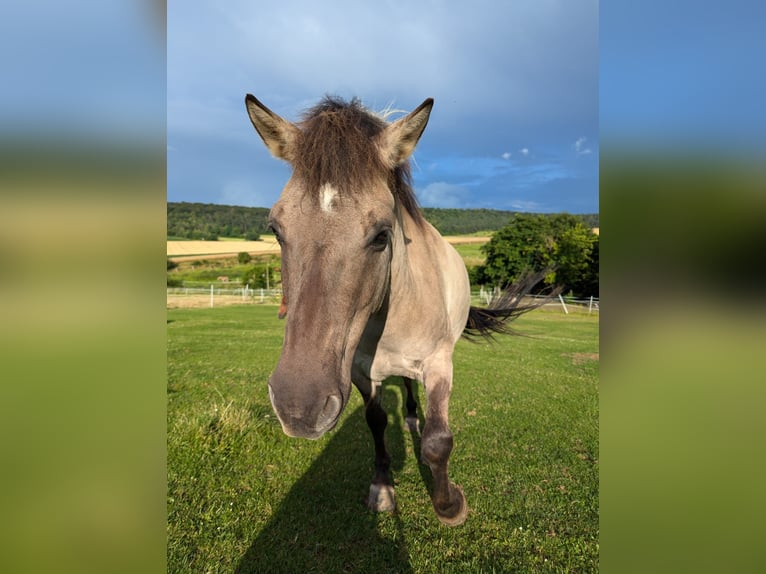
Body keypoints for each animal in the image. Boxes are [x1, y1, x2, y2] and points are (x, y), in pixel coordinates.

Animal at [248, 93, 544, 528]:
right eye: (276, 229)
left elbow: (438, 441)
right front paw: (382, 487)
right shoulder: (359, 372)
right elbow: (375, 423)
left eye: (381, 235)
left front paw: (449, 505)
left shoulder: (439, 364)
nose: (299, 408)